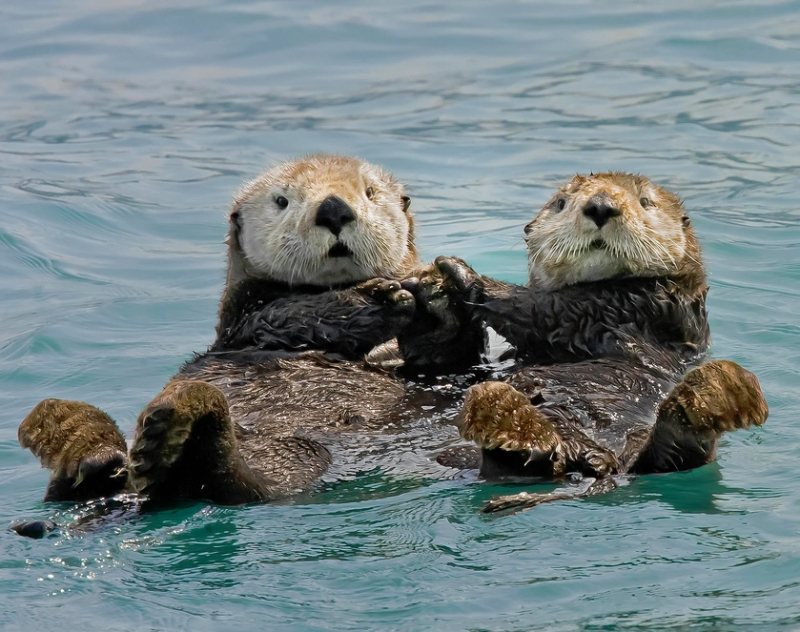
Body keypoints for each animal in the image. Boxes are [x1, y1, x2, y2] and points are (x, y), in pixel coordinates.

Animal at [18, 154, 482, 510]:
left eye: (370, 192)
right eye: (282, 200)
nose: (334, 209)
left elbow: (441, 354)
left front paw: (438, 294)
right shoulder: (248, 316)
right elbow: (297, 316)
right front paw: (381, 298)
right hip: (284, 448)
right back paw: (137, 447)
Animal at [410, 172, 768, 511]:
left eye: (645, 202)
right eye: (561, 203)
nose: (600, 206)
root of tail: (599, 465)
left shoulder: (632, 307)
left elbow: (538, 308)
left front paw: (458, 271)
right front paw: (431, 297)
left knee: (675, 458)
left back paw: (715, 397)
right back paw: (505, 418)